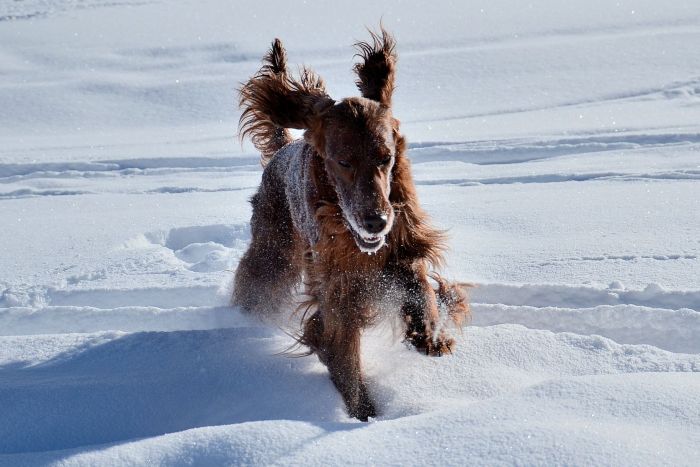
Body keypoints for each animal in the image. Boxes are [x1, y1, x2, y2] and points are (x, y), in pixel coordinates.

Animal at [232, 28, 468, 420]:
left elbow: (421, 288)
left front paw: (429, 334)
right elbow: (339, 350)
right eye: (343, 161)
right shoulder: (338, 291)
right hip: (273, 253)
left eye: (386, 158)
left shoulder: (405, 244)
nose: (376, 222)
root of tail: (282, 150)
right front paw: (363, 412)